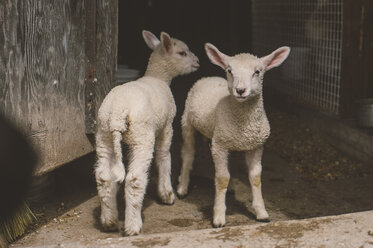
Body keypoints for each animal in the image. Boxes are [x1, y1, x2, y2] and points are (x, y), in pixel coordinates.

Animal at [96, 30, 199, 235]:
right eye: (182, 53)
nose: (198, 62)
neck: (159, 78)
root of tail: (117, 111)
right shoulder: (167, 125)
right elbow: (164, 155)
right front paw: (167, 193)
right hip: (141, 136)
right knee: (134, 179)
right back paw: (133, 226)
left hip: (104, 136)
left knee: (103, 177)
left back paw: (109, 221)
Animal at [176, 42, 290, 227]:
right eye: (229, 71)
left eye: (257, 72)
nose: (240, 90)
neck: (244, 124)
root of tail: (209, 77)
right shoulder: (220, 145)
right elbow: (222, 178)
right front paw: (218, 217)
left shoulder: (256, 146)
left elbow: (255, 178)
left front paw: (261, 212)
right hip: (187, 123)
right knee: (188, 154)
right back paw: (182, 187)